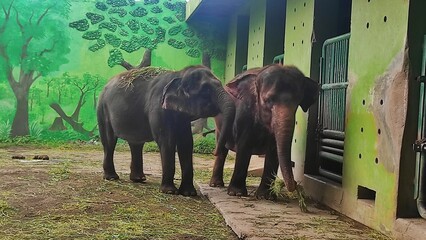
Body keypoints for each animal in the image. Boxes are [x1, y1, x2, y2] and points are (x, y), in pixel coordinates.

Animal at [97, 65, 236, 195]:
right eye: (205, 90)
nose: (214, 152)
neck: (179, 74)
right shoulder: (157, 107)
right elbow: (166, 140)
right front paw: (169, 191)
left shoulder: (182, 117)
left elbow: (186, 143)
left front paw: (189, 193)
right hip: (102, 109)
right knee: (109, 141)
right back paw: (111, 177)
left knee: (136, 144)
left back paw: (139, 179)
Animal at [211, 64, 318, 199]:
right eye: (268, 100)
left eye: (297, 102)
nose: (295, 183)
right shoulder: (244, 115)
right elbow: (244, 147)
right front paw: (236, 193)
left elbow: (274, 151)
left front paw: (266, 196)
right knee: (222, 150)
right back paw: (216, 184)